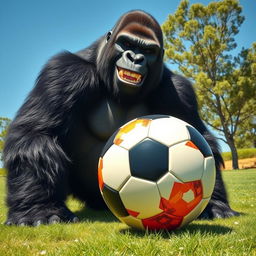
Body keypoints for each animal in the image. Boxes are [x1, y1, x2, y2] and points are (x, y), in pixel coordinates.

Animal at [2, 10, 238, 226]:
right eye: (126, 43)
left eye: (148, 50)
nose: (135, 58)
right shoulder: (63, 72)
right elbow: (36, 135)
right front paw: (38, 210)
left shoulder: (179, 91)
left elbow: (204, 139)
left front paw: (213, 205)